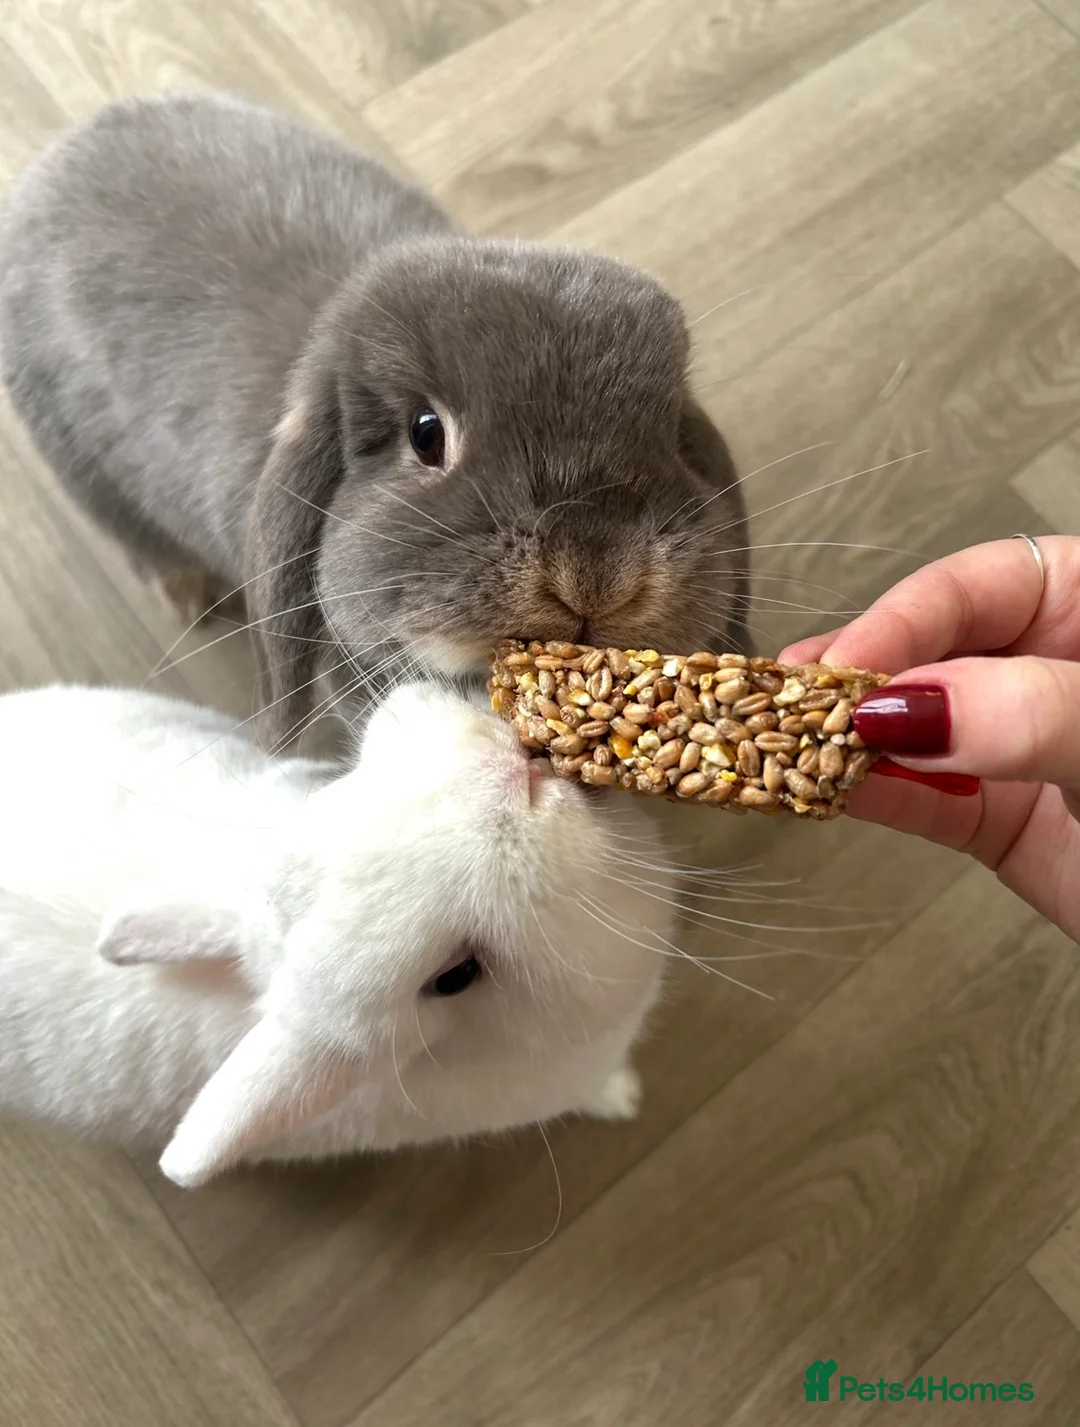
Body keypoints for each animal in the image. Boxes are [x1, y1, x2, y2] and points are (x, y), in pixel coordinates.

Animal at [0, 92, 750, 751]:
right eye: (426, 434)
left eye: (673, 436)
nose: (596, 577)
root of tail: (56, 162)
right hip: (83, 468)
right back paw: (197, 599)